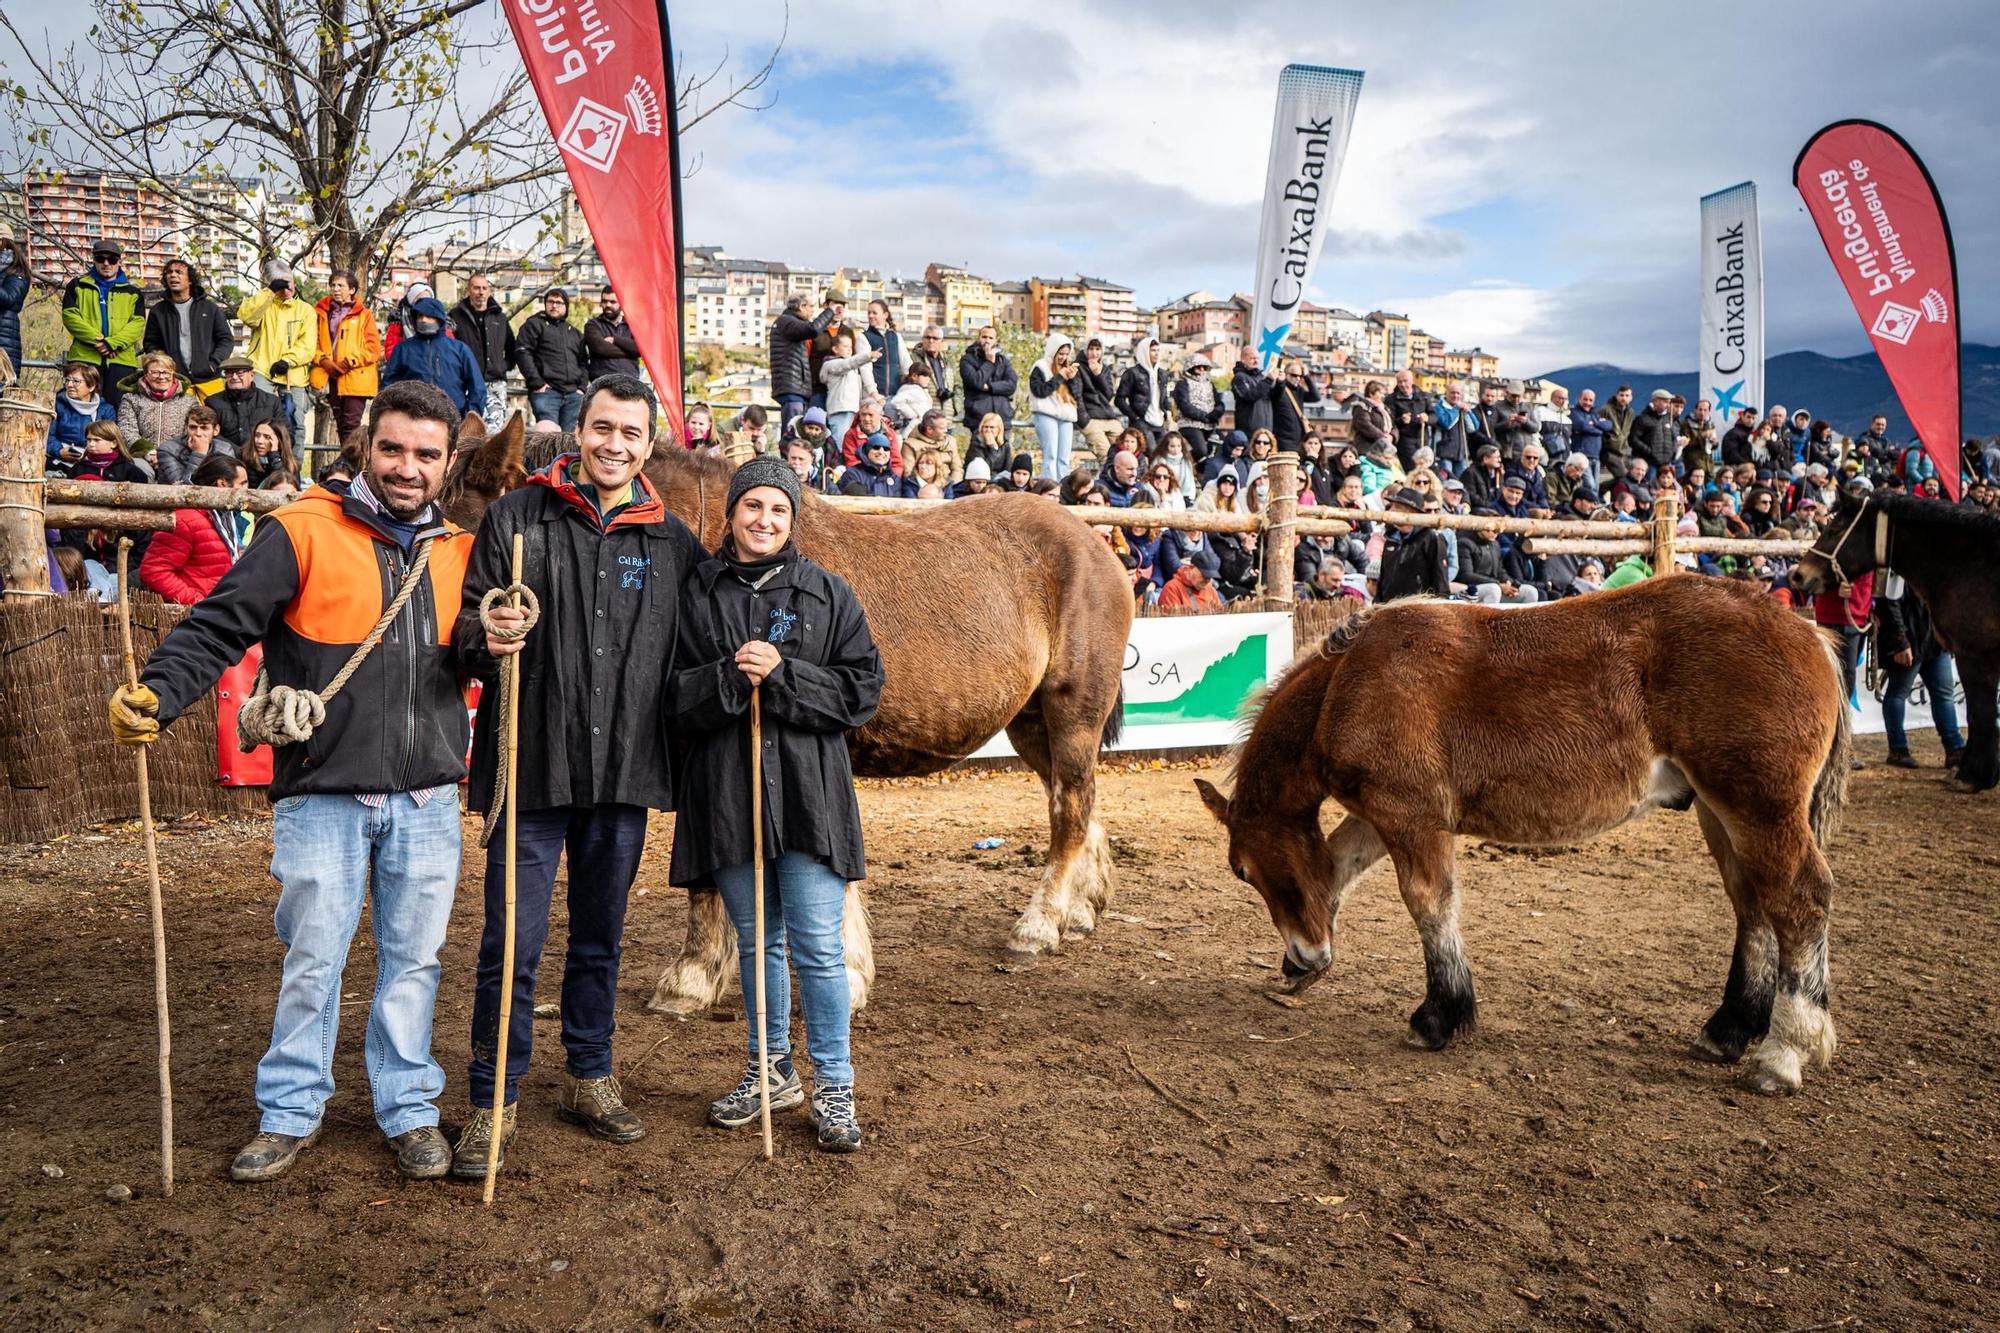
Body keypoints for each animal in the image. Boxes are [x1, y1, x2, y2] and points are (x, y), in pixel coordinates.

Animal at [448, 416, 1144, 1008]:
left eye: (463, 541)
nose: (466, 643)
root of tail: (1097, 544)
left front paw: (799, 973)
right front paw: (703, 974)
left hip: (1071, 715)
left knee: (1069, 808)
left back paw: (1040, 925)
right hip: (1029, 723)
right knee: (1077, 803)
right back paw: (1083, 907)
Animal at [1792, 486, 2000, 788]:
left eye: (1835, 528)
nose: (1798, 575)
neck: (1970, 562)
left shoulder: (1974, 654)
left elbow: (1979, 711)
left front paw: (1972, 776)